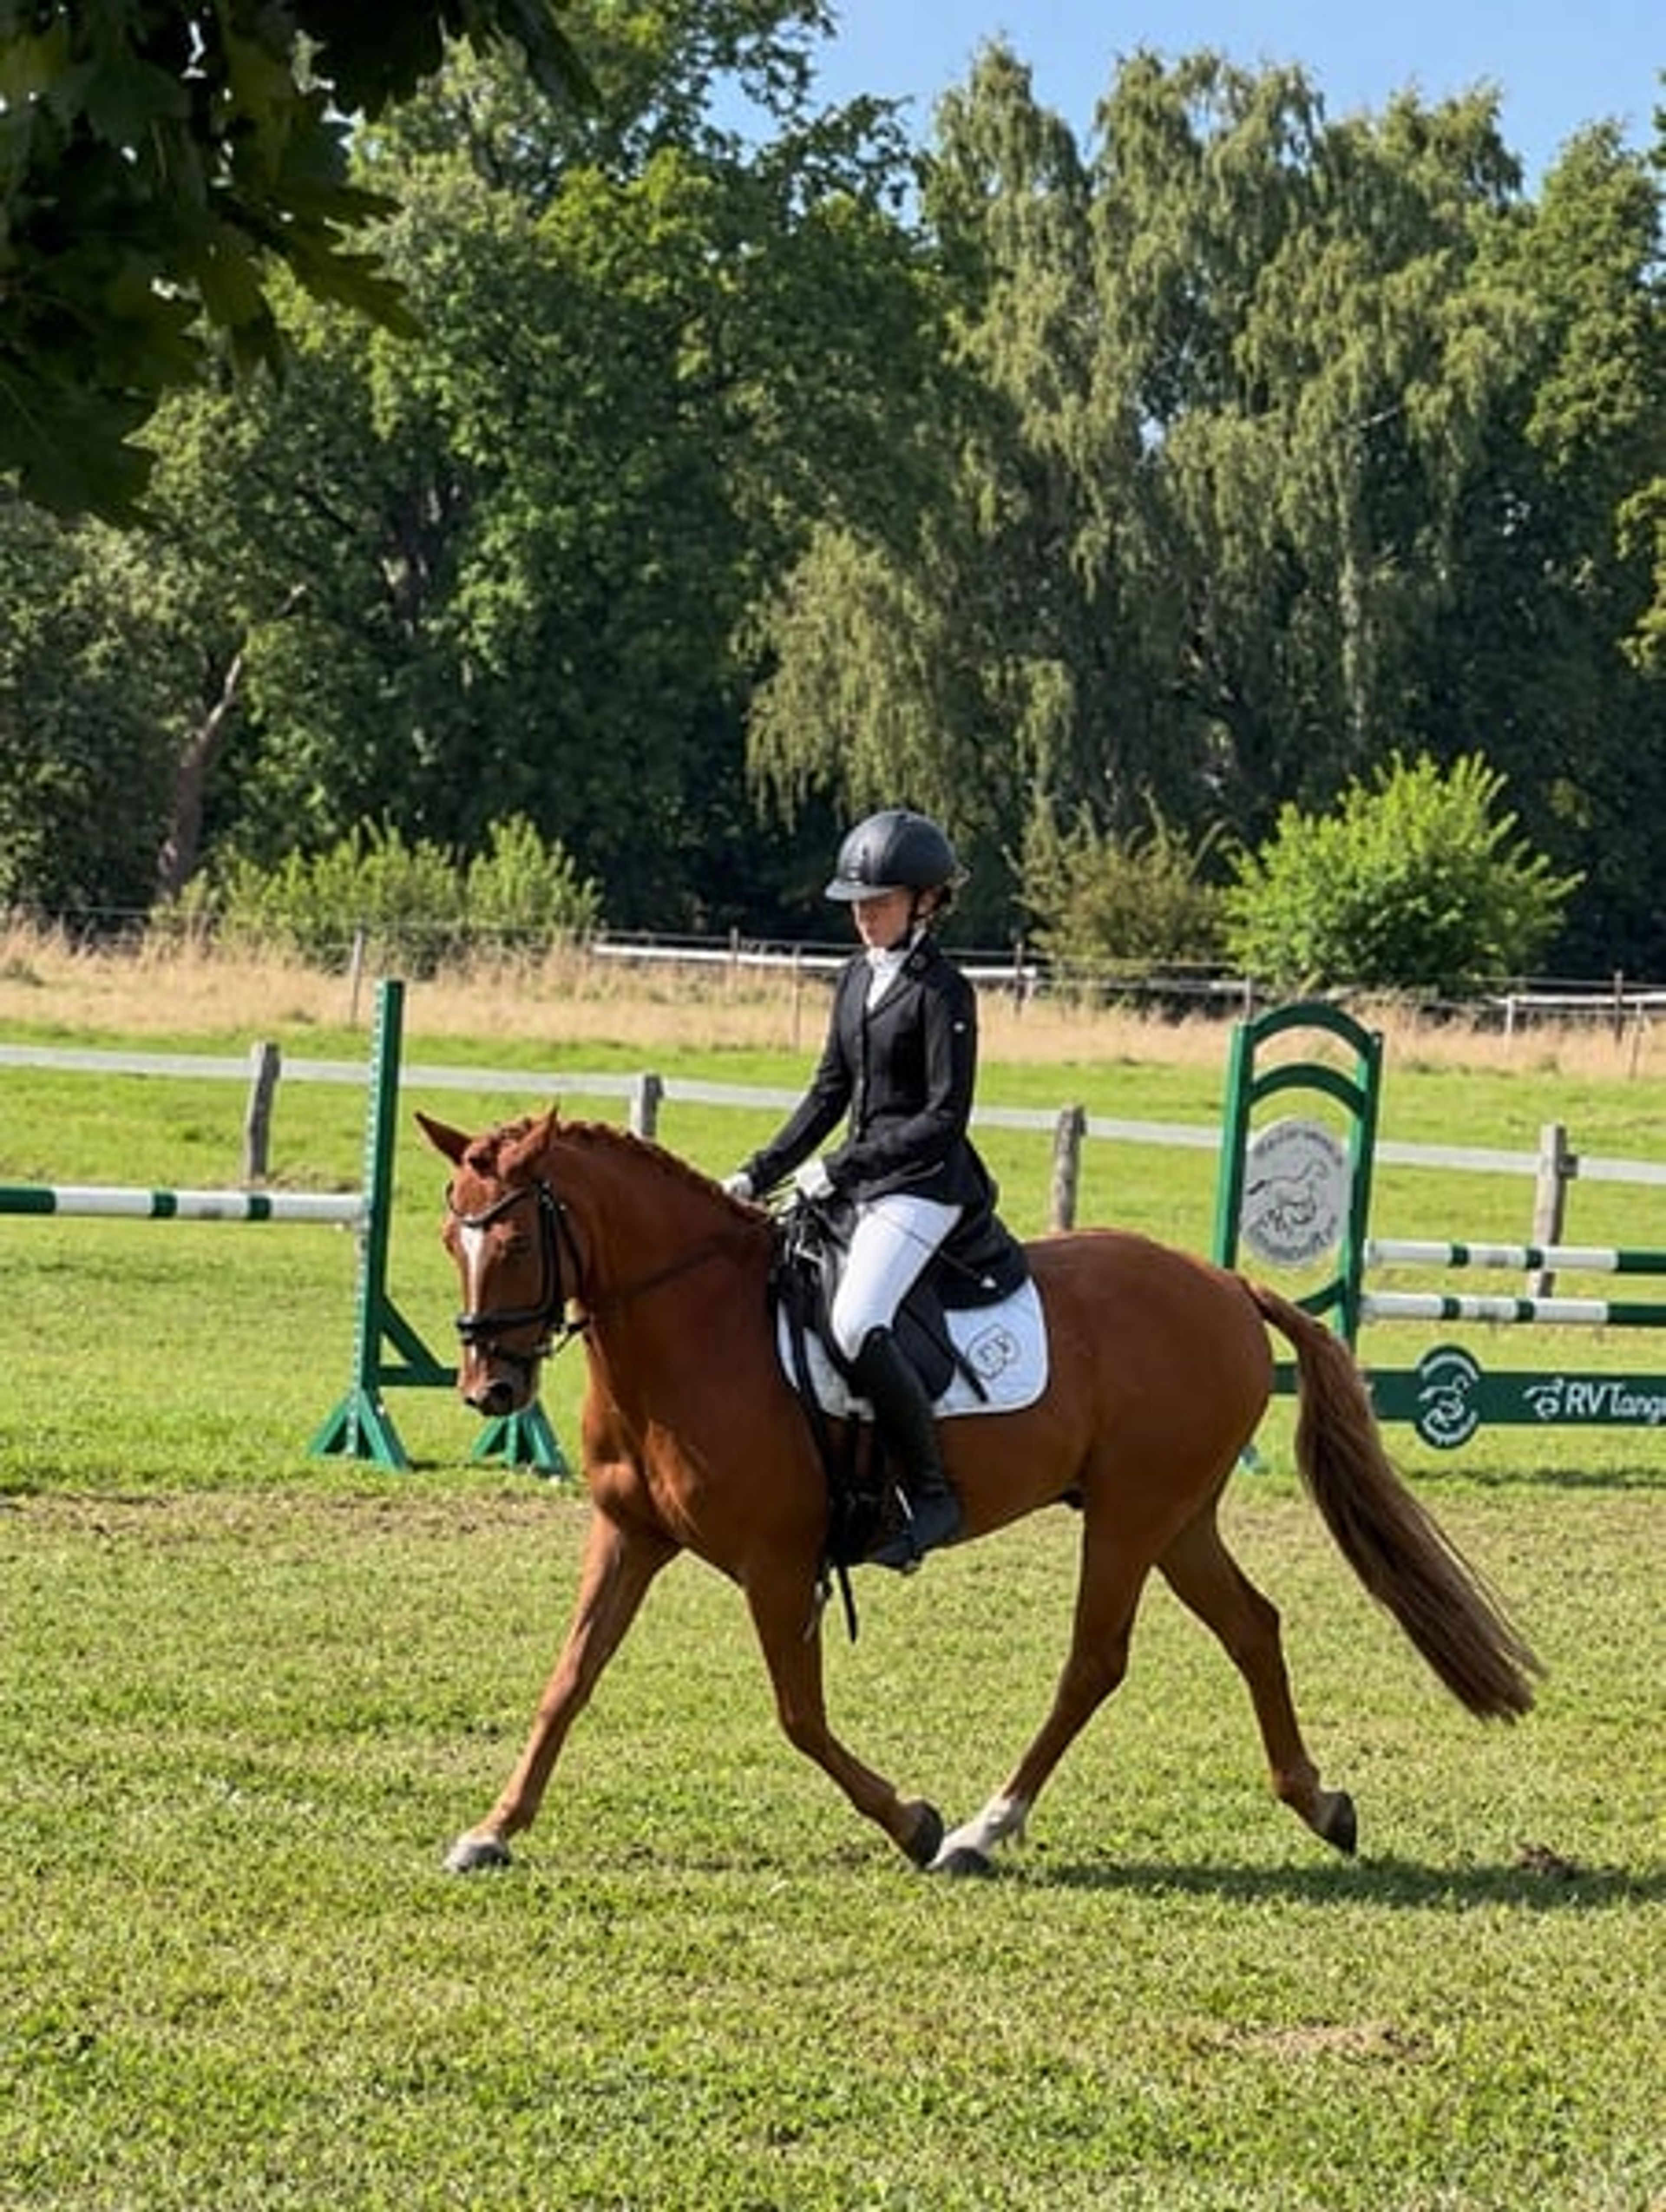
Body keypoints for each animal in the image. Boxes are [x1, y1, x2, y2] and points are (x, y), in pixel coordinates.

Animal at [416, 1107, 1541, 1878]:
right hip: (1177, 1517)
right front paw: (492, 1829)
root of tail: (1224, 1282)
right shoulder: (627, 1535)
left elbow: (798, 1714)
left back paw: (980, 1829)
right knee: (1252, 1627)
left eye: (514, 1241)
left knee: (1094, 1662)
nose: (489, 1390)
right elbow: (569, 1680)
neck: (690, 1328)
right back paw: (1318, 1802)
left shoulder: (776, 1564)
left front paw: (911, 1820)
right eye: (448, 1240)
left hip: (1131, 1515)